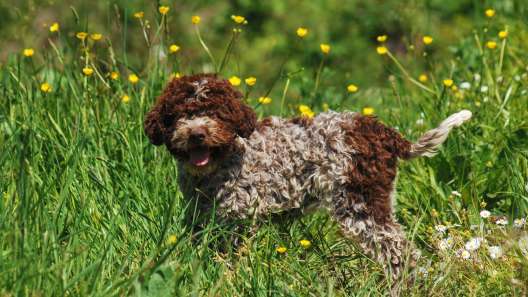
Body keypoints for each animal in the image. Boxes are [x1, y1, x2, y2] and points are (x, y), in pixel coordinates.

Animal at [143, 73, 470, 276]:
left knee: (399, 251)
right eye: (178, 115)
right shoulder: (202, 219)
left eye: (215, 112)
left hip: (360, 204)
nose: (197, 134)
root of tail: (379, 130)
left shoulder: (239, 220)